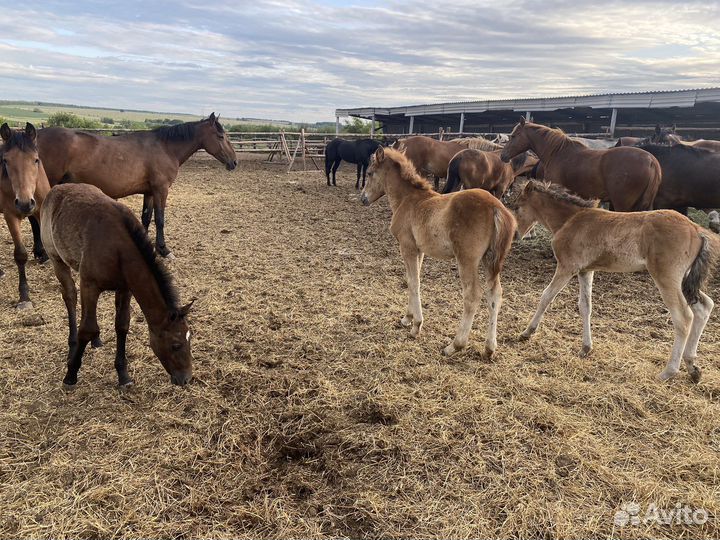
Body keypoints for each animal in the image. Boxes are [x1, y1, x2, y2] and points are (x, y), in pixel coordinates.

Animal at [0, 123, 52, 309]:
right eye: (5, 160)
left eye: (35, 159)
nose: (24, 203)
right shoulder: (10, 216)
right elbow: (20, 255)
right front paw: (24, 296)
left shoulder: (42, 210)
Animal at [36, 113, 237, 259]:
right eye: (221, 136)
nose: (234, 162)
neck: (165, 148)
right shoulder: (161, 190)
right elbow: (160, 219)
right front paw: (163, 250)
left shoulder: (149, 192)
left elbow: (146, 218)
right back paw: (42, 253)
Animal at [40, 183, 194, 387]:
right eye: (175, 345)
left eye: (189, 338)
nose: (186, 378)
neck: (118, 248)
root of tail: (56, 189)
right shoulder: (89, 286)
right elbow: (87, 328)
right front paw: (71, 374)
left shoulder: (125, 288)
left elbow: (122, 325)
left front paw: (123, 375)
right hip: (57, 260)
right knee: (70, 296)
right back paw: (72, 345)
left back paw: (96, 341)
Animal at [360, 146, 516, 357]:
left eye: (369, 173)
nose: (363, 199)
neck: (407, 199)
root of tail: (496, 207)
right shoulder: (419, 250)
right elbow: (412, 280)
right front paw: (407, 318)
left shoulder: (407, 246)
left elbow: (414, 281)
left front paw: (416, 326)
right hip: (490, 261)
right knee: (495, 295)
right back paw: (489, 348)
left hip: (467, 259)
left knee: (472, 295)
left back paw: (455, 345)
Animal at [510, 180, 718, 382]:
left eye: (517, 206)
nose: (514, 235)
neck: (569, 220)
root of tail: (696, 230)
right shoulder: (585, 271)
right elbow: (585, 306)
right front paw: (585, 348)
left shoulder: (567, 267)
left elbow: (546, 296)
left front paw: (526, 333)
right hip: (684, 280)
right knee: (704, 307)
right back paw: (693, 367)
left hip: (667, 277)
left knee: (684, 317)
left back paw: (668, 372)